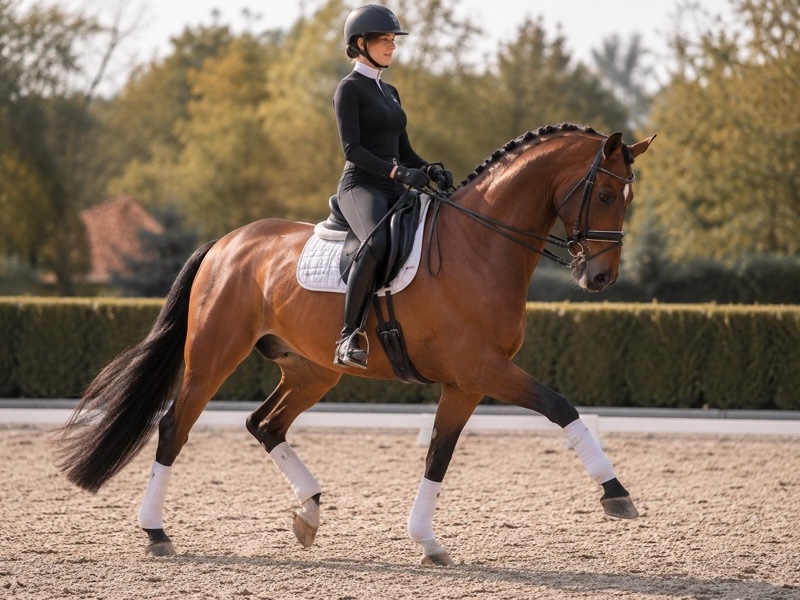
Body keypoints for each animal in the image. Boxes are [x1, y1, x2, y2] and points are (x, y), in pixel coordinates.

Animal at [57, 123, 655, 566]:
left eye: (629, 198)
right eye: (605, 193)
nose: (600, 278)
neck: (482, 244)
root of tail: (225, 243)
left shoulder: (466, 382)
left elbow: (439, 453)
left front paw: (427, 541)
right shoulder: (484, 369)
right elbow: (560, 406)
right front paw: (616, 493)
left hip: (312, 369)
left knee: (264, 424)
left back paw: (308, 514)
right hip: (212, 359)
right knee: (173, 428)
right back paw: (157, 533)